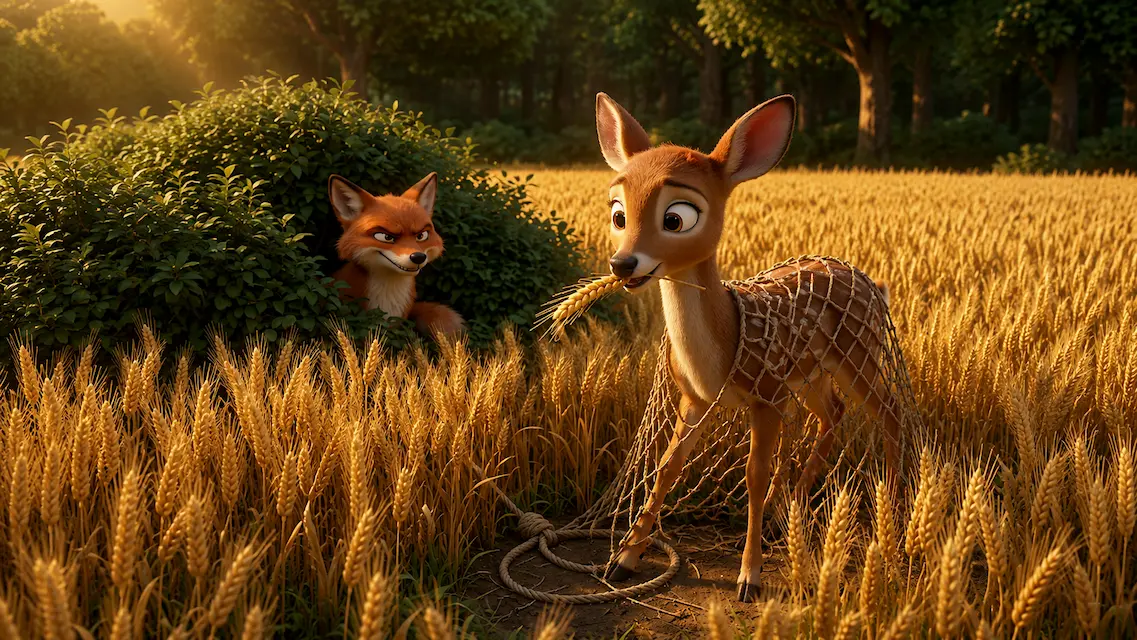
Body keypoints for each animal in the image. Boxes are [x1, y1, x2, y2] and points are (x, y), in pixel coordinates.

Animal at [594, 92, 903, 602]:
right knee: (834, 413)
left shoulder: (766, 398)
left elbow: (754, 476)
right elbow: (667, 466)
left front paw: (749, 576)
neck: (722, 343)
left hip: (856, 355)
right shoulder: (697, 399)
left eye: (677, 217)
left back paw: (890, 517)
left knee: (887, 412)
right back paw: (790, 511)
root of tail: (872, 284)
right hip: (810, 372)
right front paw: (623, 559)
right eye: (617, 213)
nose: (623, 264)